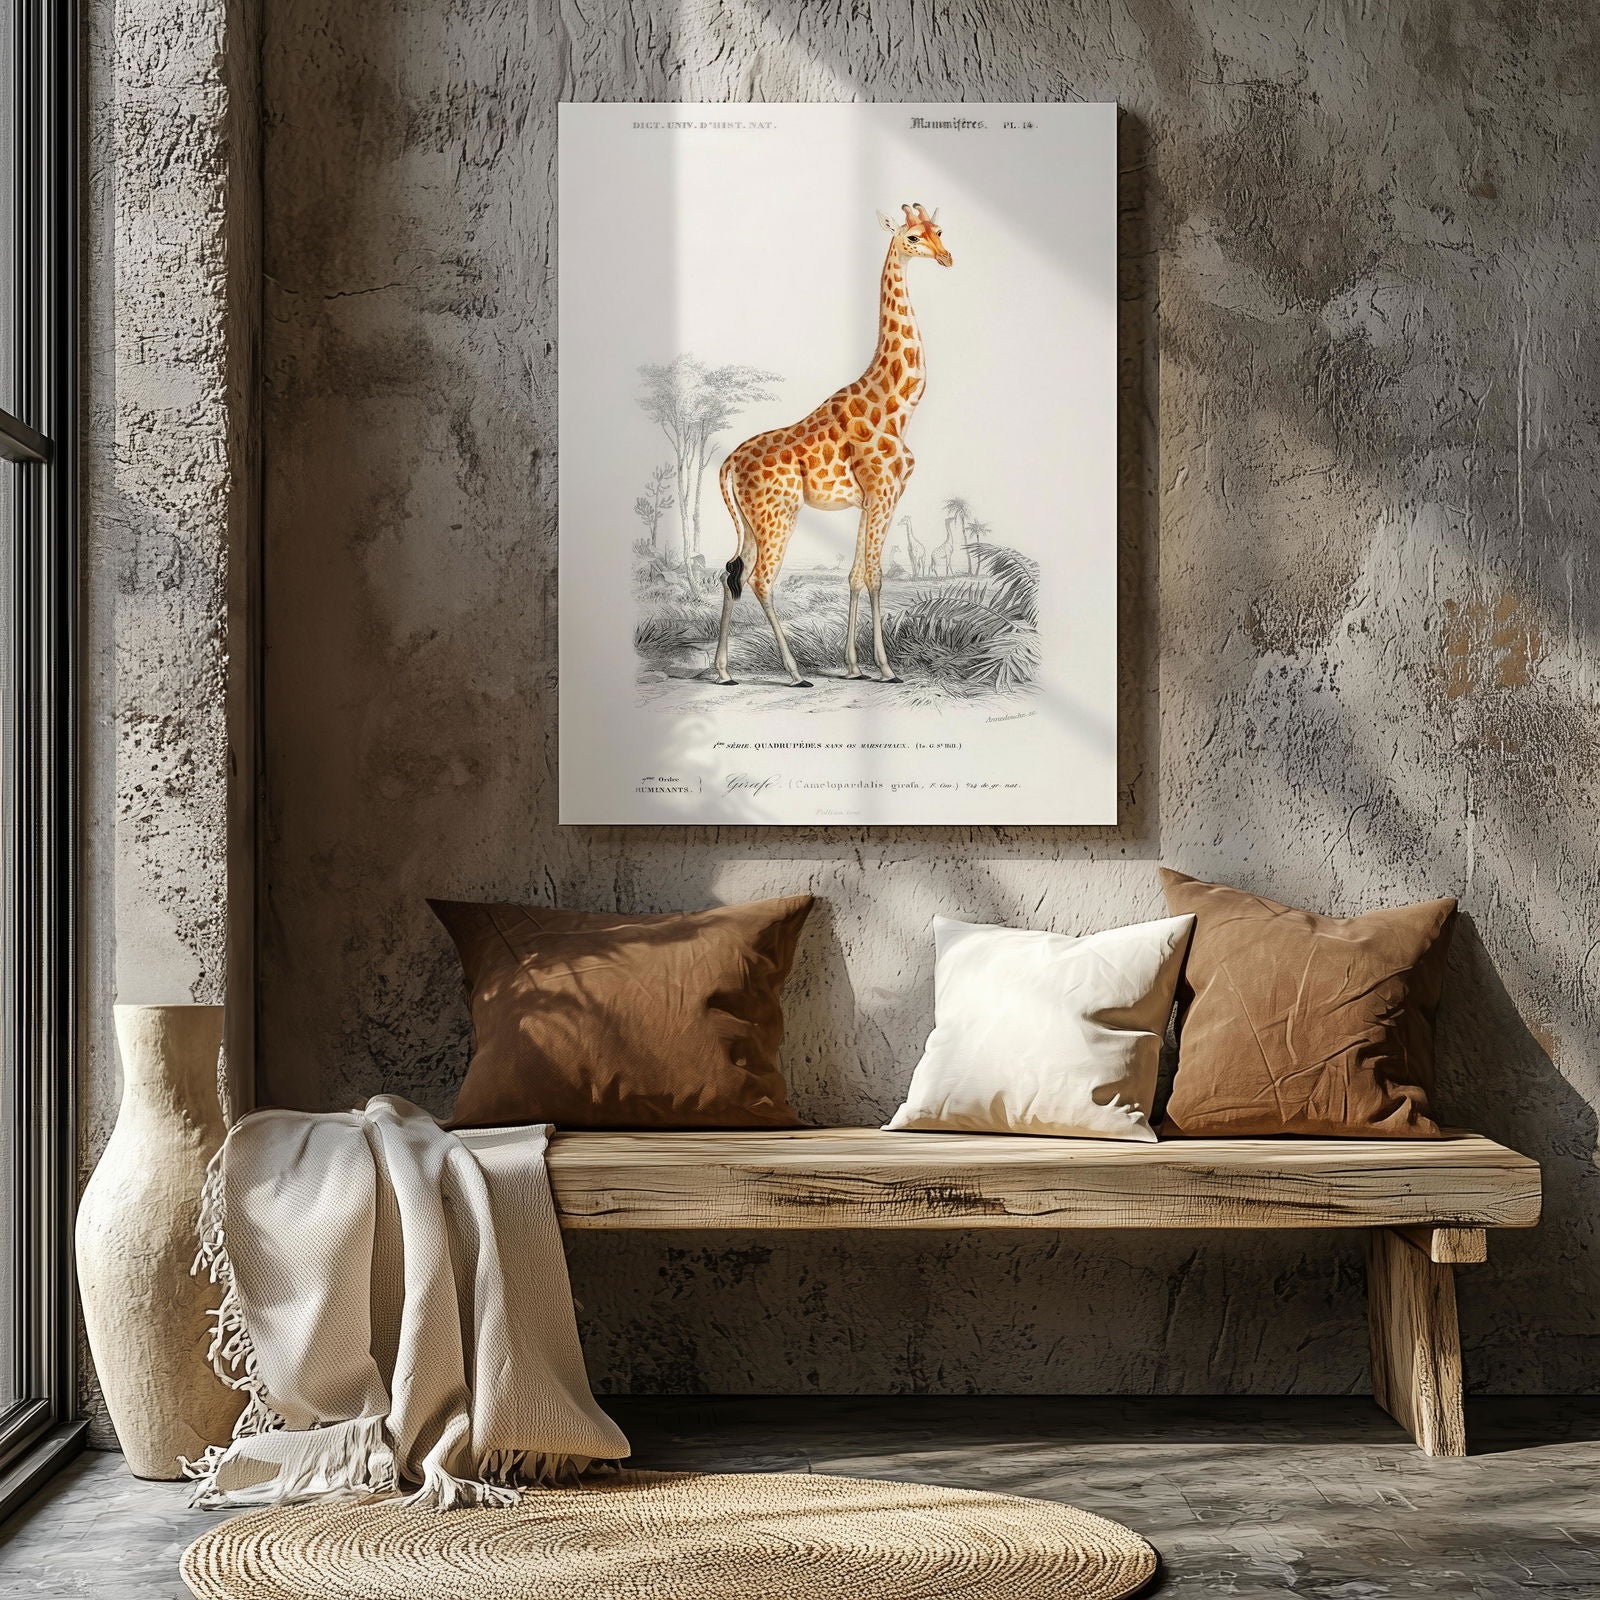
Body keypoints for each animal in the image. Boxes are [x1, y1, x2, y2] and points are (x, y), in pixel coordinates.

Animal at [712, 202, 953, 687]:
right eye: (912, 237)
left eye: (939, 230)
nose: (946, 257)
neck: (898, 405)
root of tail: (727, 464)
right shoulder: (883, 493)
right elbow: (876, 576)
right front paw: (886, 669)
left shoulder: (870, 500)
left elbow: (856, 576)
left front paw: (854, 667)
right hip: (778, 515)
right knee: (760, 580)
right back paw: (794, 673)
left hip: (751, 521)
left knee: (732, 573)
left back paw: (723, 672)